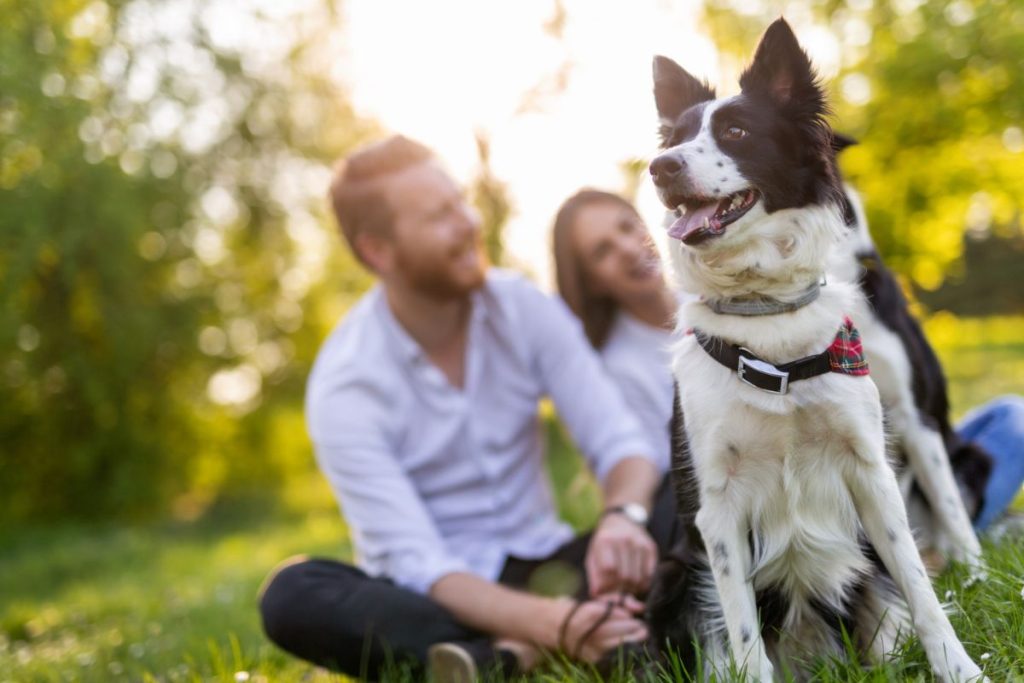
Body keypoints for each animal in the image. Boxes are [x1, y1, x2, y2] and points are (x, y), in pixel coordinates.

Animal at [643, 18, 987, 679]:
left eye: (736, 131)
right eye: (674, 138)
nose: (660, 166)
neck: (765, 319)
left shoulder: (875, 468)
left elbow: (921, 587)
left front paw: (960, 668)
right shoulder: (716, 509)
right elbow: (743, 633)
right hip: (677, 575)